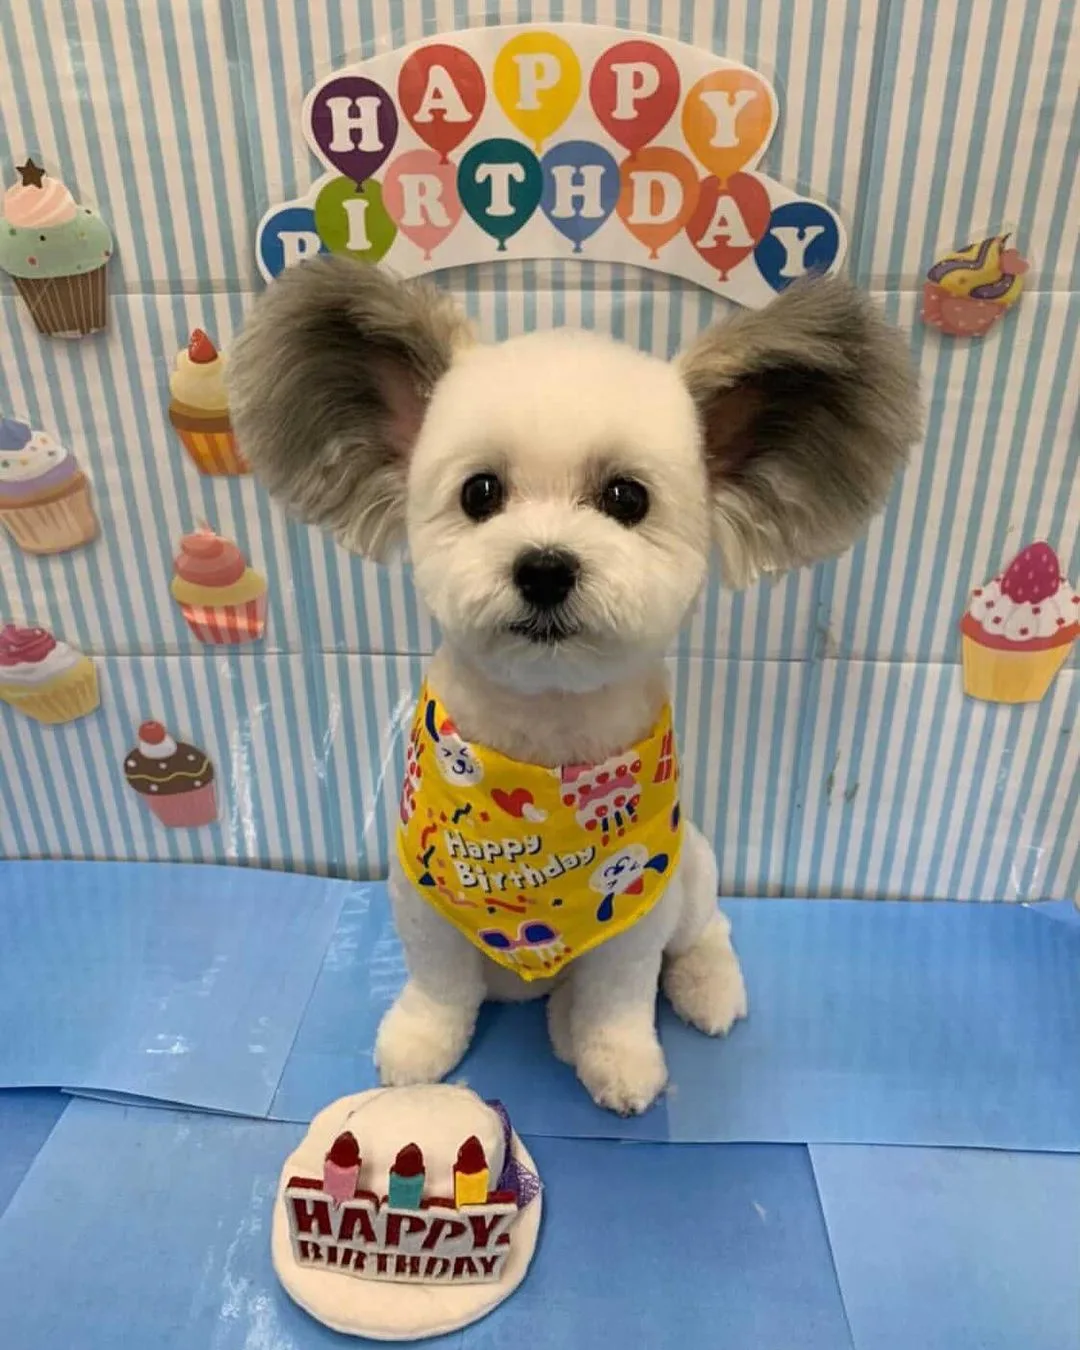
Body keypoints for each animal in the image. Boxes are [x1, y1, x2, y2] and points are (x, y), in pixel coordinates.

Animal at [232, 257, 918, 1112]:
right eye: (480, 493)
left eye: (627, 498)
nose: (545, 567)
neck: (544, 751)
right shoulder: (422, 893)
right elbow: (439, 984)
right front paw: (421, 1043)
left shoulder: (634, 908)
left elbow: (618, 997)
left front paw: (618, 1060)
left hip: (689, 869)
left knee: (707, 931)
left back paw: (706, 991)